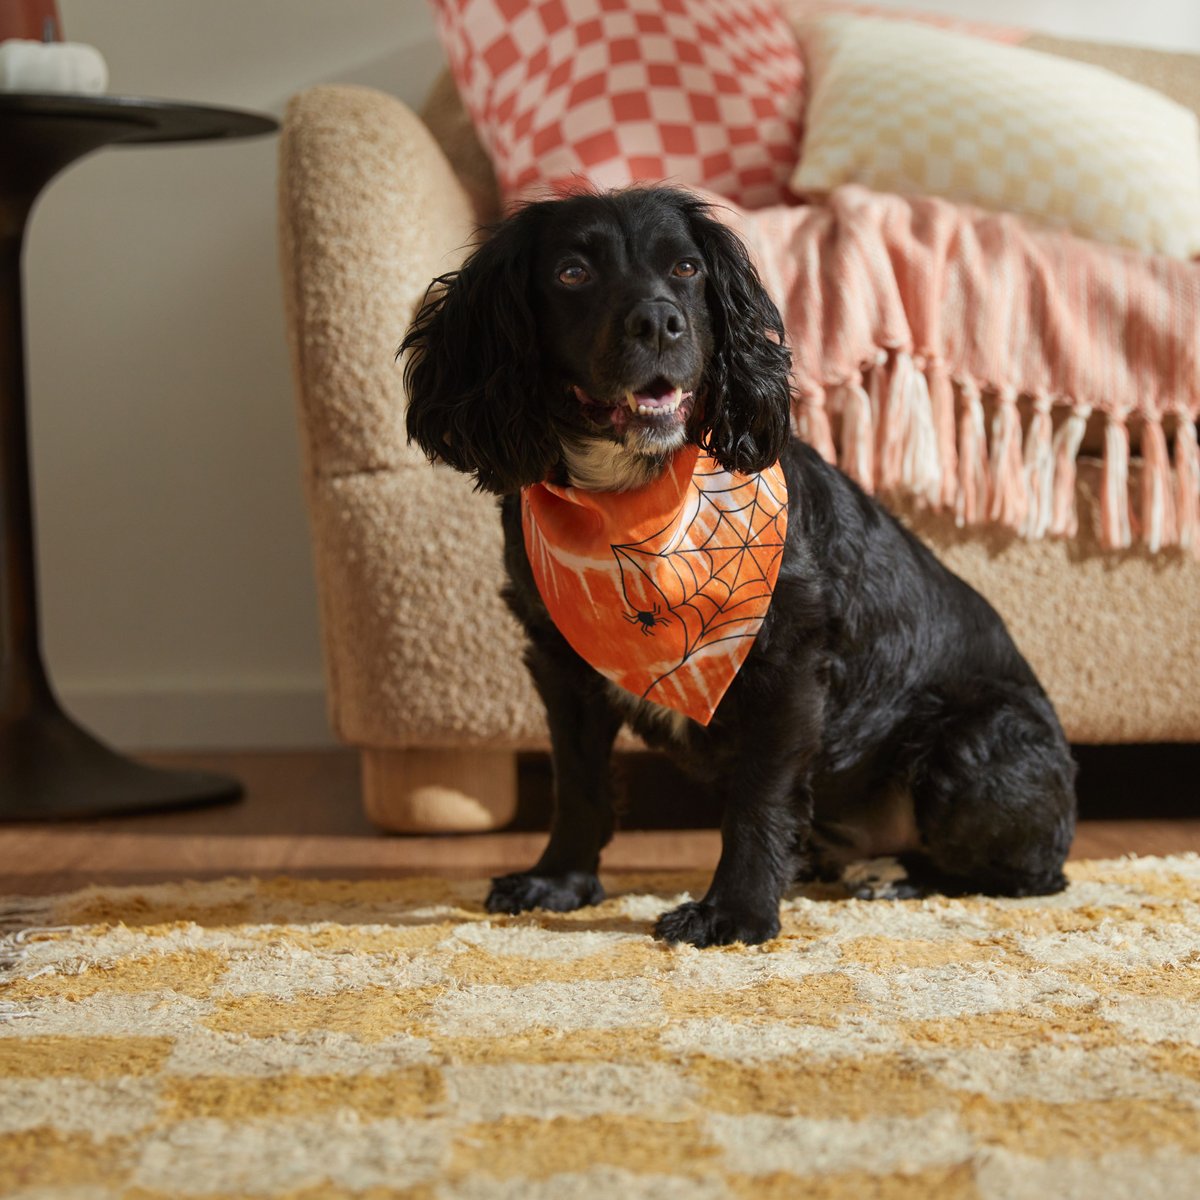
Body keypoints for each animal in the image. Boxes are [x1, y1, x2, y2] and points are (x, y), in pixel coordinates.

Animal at [403, 189, 1080, 945]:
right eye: (571, 272)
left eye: (687, 267)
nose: (659, 321)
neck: (634, 496)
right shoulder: (562, 658)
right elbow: (577, 784)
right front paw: (559, 882)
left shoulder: (784, 663)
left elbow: (759, 800)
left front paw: (735, 913)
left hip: (970, 744)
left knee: (1029, 875)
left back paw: (894, 877)